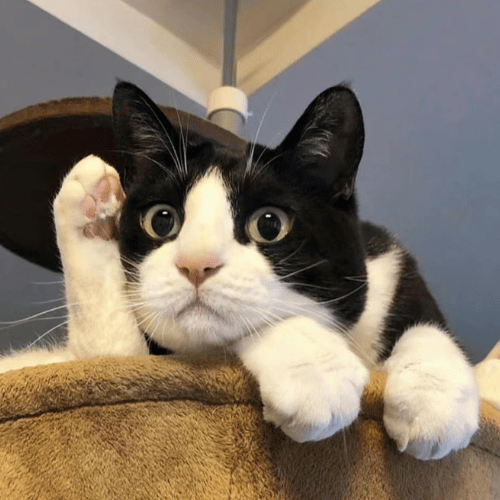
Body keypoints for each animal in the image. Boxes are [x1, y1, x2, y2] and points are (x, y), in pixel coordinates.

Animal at [0, 80, 480, 458]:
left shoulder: (388, 260)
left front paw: (434, 400)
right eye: (161, 220)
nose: (196, 264)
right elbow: (112, 357)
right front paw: (314, 368)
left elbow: (425, 320)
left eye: (269, 224)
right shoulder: (130, 364)